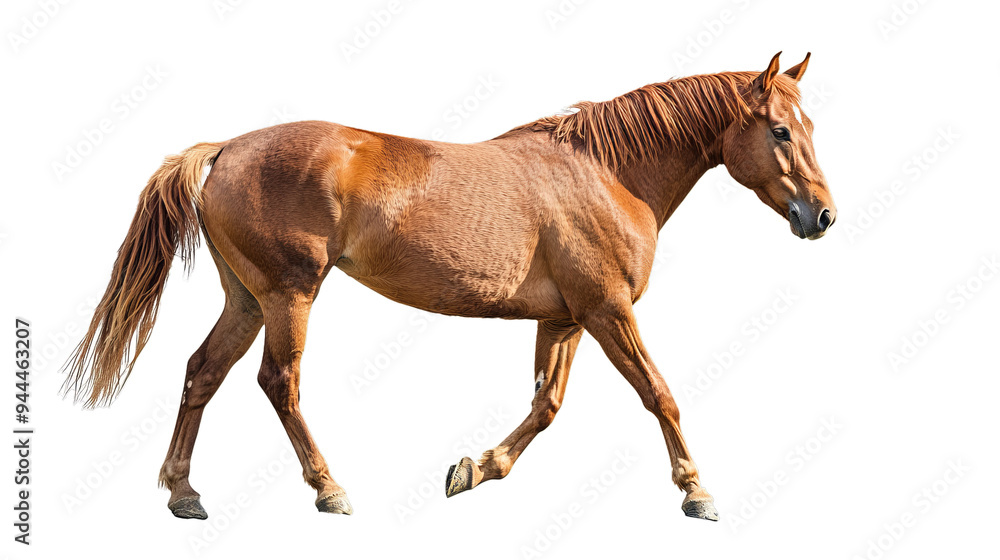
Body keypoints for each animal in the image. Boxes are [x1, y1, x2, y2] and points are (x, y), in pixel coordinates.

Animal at [63, 51, 835, 522]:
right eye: (779, 130)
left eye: (809, 124)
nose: (821, 216)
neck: (607, 174)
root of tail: (223, 149)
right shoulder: (607, 311)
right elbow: (660, 395)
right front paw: (697, 492)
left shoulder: (564, 321)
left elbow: (547, 406)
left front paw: (473, 468)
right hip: (289, 296)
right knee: (277, 382)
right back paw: (330, 491)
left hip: (247, 300)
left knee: (202, 373)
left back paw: (184, 493)